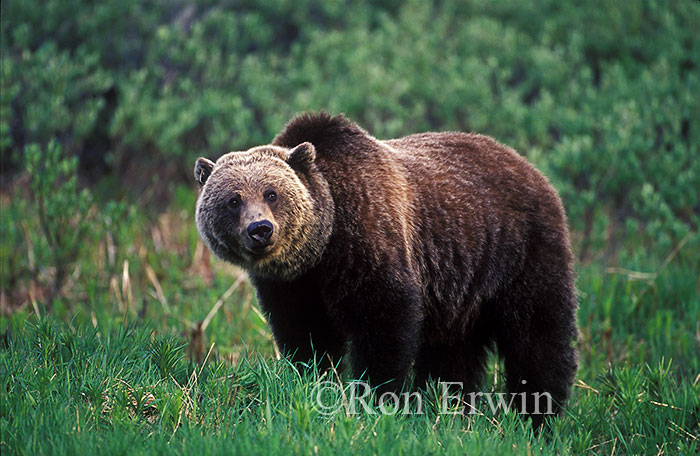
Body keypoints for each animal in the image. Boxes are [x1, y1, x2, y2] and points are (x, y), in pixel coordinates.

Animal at [194, 112, 579, 425]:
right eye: (233, 200)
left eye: (272, 193)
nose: (260, 229)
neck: (321, 247)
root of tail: (530, 167)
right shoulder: (291, 285)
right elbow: (304, 334)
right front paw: (310, 377)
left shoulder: (368, 241)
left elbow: (384, 319)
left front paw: (375, 397)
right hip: (460, 290)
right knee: (453, 353)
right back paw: (451, 406)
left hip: (519, 252)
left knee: (538, 334)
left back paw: (538, 416)